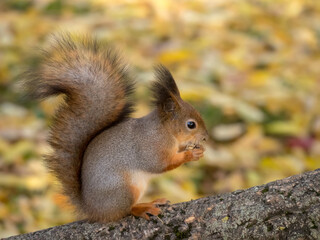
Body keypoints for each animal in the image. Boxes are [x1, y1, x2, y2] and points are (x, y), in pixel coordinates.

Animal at [25, 34, 210, 223]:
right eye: (191, 124)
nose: (205, 137)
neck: (165, 130)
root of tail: (93, 209)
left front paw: (197, 150)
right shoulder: (152, 146)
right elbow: (160, 164)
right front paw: (190, 154)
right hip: (123, 190)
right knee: (125, 211)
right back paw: (143, 208)